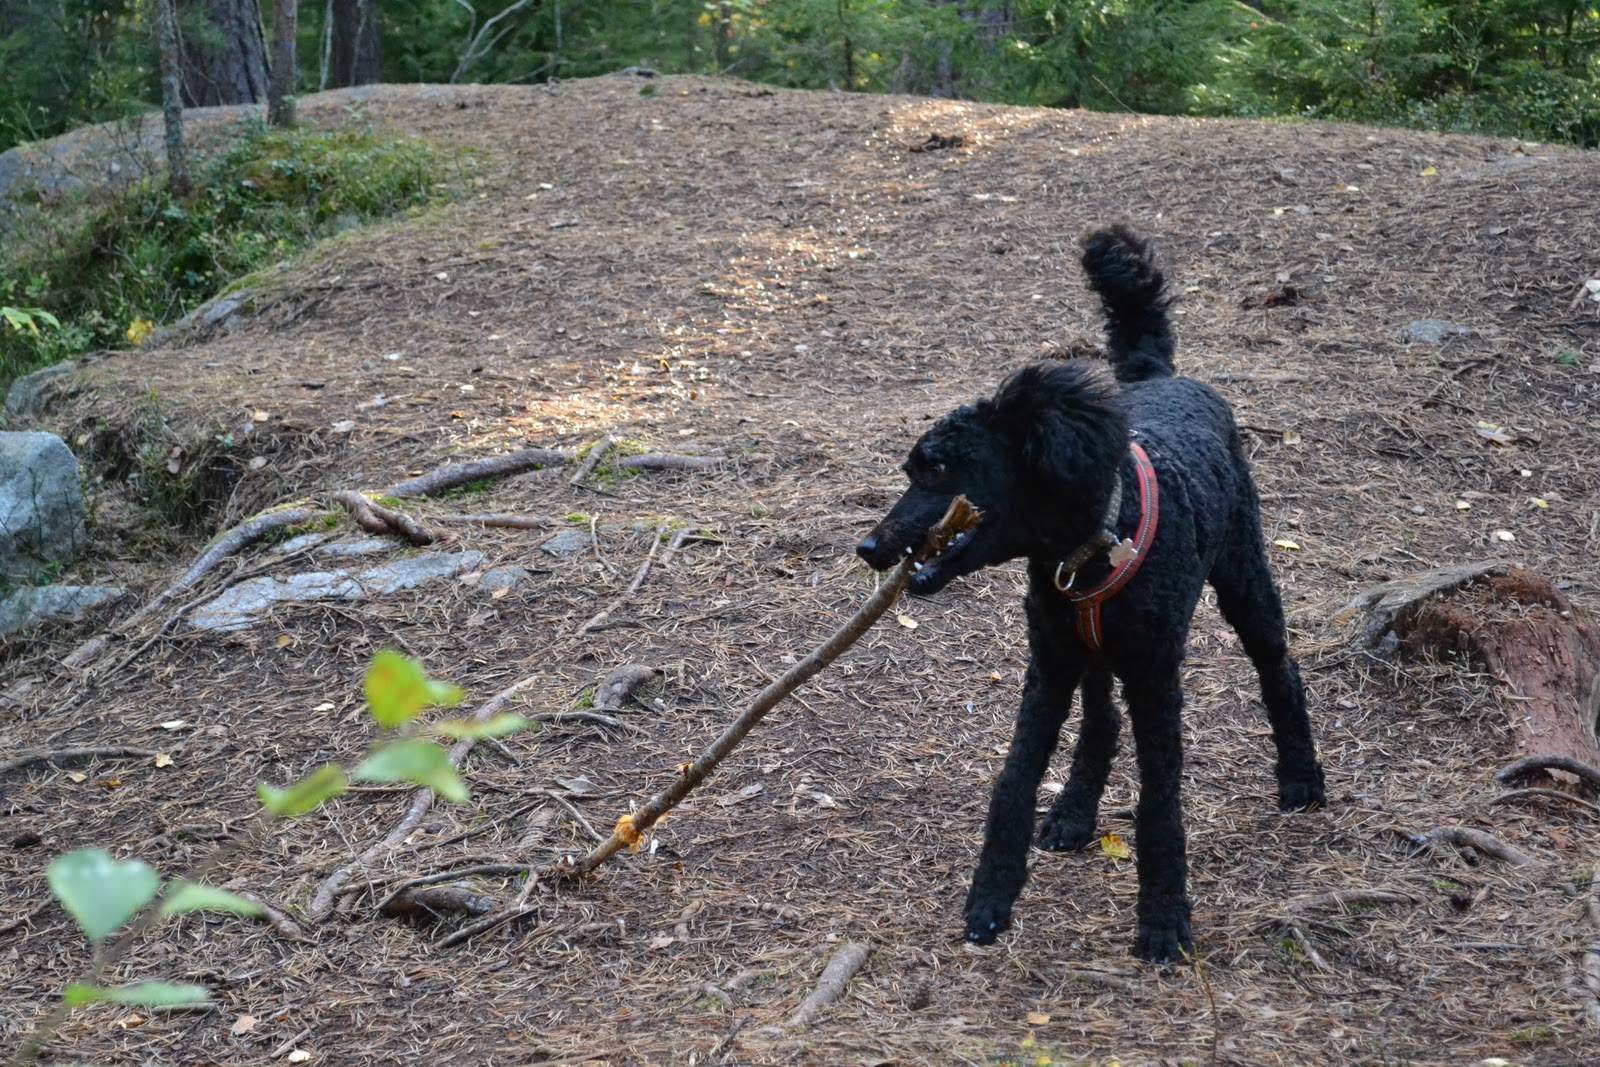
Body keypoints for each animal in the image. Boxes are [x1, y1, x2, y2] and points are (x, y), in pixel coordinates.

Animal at [856, 226, 1325, 963]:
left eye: (940, 468)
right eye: (912, 469)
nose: (871, 548)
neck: (1095, 533)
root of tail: (1164, 378)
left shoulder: (1156, 677)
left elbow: (1160, 801)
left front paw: (1162, 920)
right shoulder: (1049, 664)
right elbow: (1015, 780)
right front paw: (991, 898)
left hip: (1244, 577)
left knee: (1279, 667)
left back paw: (1302, 775)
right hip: (1089, 647)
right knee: (1101, 718)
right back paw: (1075, 810)